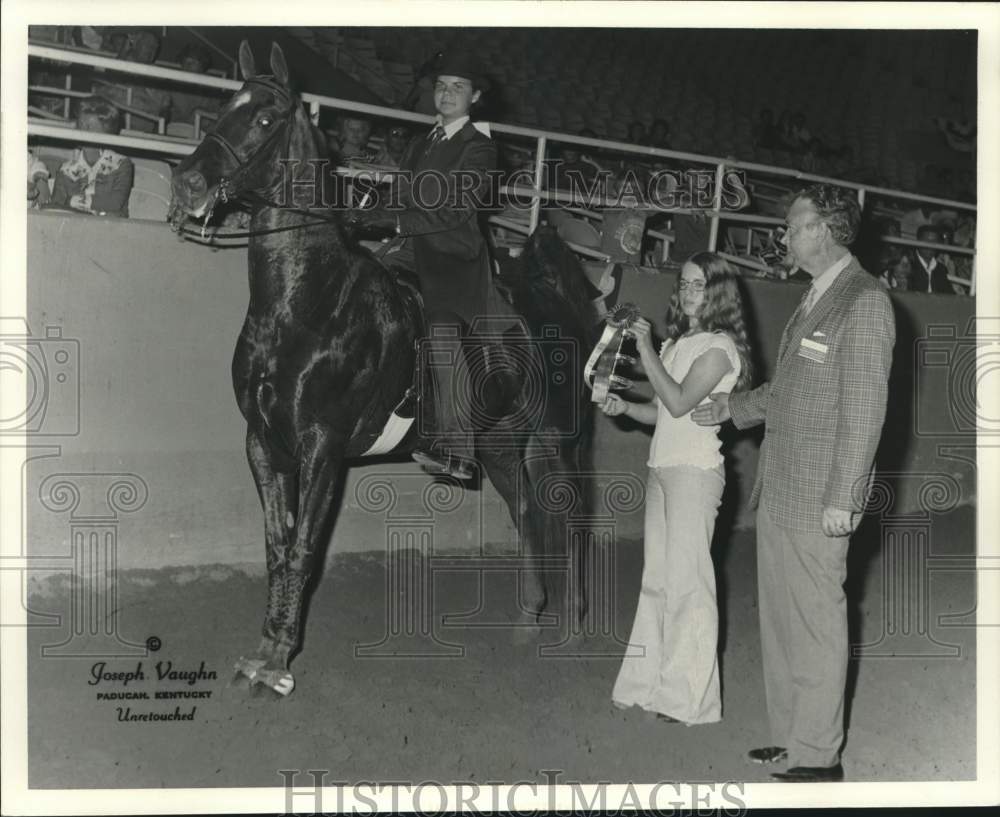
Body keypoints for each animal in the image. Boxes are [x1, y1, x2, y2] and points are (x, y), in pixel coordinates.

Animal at [169, 43, 596, 696]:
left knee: (569, 521)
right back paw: (529, 617)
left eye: (265, 118)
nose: (187, 183)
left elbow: (303, 549)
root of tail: (552, 300)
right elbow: (276, 545)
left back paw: (571, 625)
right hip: (501, 446)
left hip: (558, 443)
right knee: (526, 512)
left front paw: (279, 664)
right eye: (223, 106)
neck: (307, 304)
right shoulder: (263, 442)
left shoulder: (322, 448)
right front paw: (262, 651)